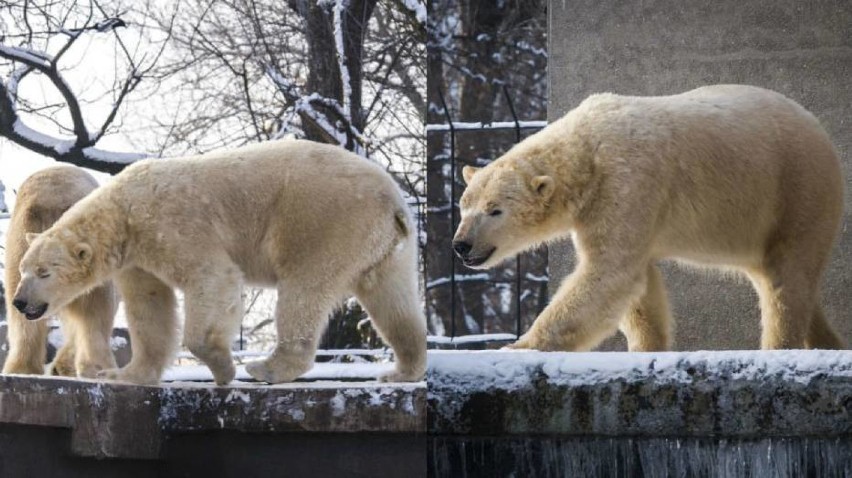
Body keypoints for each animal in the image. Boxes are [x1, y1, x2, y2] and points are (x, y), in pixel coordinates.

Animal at [452, 83, 844, 352]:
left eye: (495, 210)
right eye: (463, 207)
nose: (461, 245)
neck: (586, 151)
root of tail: (820, 130)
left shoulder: (627, 181)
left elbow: (609, 273)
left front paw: (519, 345)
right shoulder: (600, 208)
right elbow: (639, 288)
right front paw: (646, 347)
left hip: (794, 189)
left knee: (786, 278)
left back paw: (781, 345)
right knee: (784, 279)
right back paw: (827, 342)